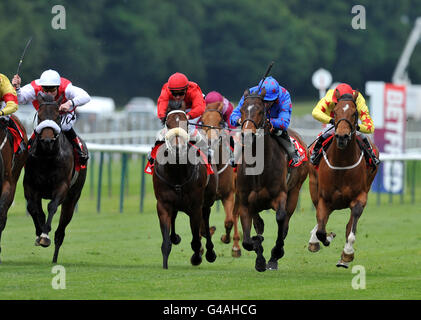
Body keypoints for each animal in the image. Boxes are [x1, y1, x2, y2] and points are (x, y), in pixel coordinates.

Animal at [23, 92, 87, 262]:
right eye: (39, 116)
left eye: (58, 116)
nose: (46, 140)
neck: (47, 157)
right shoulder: (30, 185)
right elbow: (32, 208)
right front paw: (39, 232)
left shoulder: (62, 186)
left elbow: (52, 206)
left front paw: (45, 236)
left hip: (72, 198)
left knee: (61, 231)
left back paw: (54, 258)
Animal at [151, 100, 217, 270]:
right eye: (168, 124)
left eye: (186, 123)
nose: (177, 148)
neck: (177, 173)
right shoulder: (163, 204)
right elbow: (166, 241)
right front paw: (165, 265)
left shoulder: (195, 206)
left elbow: (196, 240)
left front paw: (197, 257)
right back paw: (175, 238)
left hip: (207, 201)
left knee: (206, 220)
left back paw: (210, 253)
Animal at [200, 102, 240, 258]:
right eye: (202, 121)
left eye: (220, 121)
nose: (211, 141)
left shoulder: (229, 195)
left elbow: (229, 221)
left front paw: (225, 238)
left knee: (235, 215)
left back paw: (236, 247)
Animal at [235, 88, 306, 272]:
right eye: (242, 109)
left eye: (261, 110)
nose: (247, 135)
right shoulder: (245, 202)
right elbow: (248, 240)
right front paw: (259, 256)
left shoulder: (280, 195)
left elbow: (281, 219)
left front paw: (275, 253)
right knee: (259, 224)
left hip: (295, 191)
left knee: (285, 223)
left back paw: (274, 256)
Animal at [306, 90, 378, 268]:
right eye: (336, 111)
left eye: (354, 113)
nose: (342, 137)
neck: (342, 163)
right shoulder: (324, 198)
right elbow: (321, 229)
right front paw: (325, 237)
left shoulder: (360, 196)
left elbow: (351, 226)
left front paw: (347, 253)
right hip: (313, 187)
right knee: (320, 218)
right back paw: (314, 240)